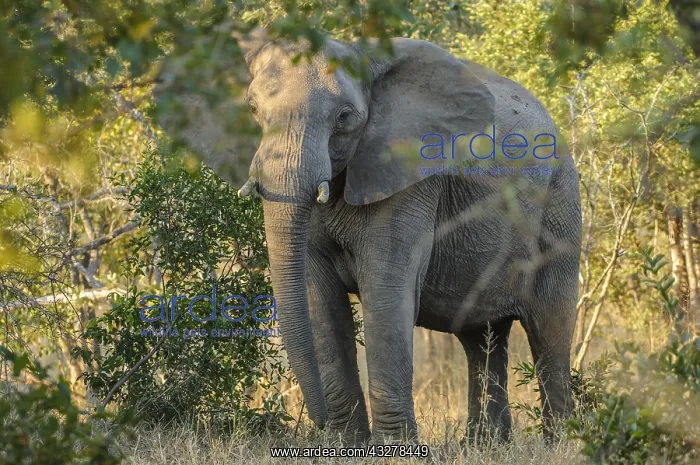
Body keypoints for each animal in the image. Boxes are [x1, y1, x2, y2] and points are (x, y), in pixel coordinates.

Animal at [164, 27, 582, 445]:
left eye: (344, 117)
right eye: (252, 109)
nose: (313, 420)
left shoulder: (410, 177)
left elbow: (384, 288)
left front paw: (393, 448)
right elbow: (318, 295)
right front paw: (343, 444)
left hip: (561, 203)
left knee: (549, 329)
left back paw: (559, 443)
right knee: (480, 337)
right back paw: (484, 444)